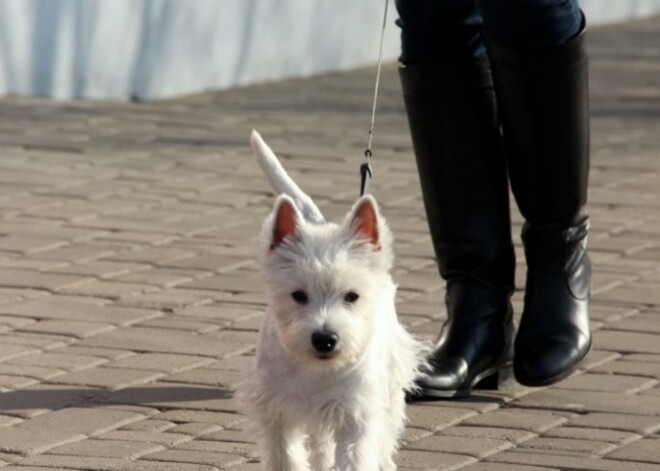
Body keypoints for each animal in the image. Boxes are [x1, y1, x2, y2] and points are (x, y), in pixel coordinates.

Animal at [237, 131, 428, 471]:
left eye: (352, 296)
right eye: (298, 295)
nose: (325, 339)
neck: (315, 369)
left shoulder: (355, 411)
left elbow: (355, 455)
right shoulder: (276, 406)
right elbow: (285, 455)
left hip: (391, 380)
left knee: (387, 428)